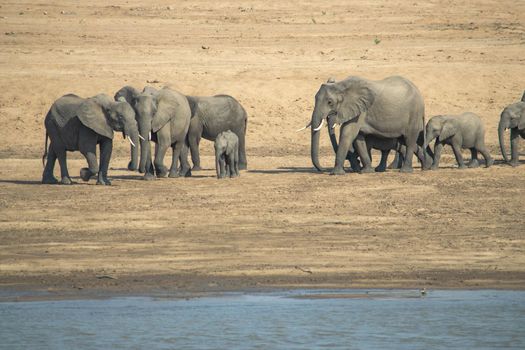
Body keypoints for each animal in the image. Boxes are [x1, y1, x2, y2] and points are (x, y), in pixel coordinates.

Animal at [302, 75, 430, 174]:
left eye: (330, 102)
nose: (322, 170)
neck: (342, 85)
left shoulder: (361, 110)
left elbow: (347, 133)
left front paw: (336, 173)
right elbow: (359, 139)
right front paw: (366, 171)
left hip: (414, 114)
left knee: (409, 140)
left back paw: (406, 171)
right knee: (404, 141)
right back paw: (424, 167)